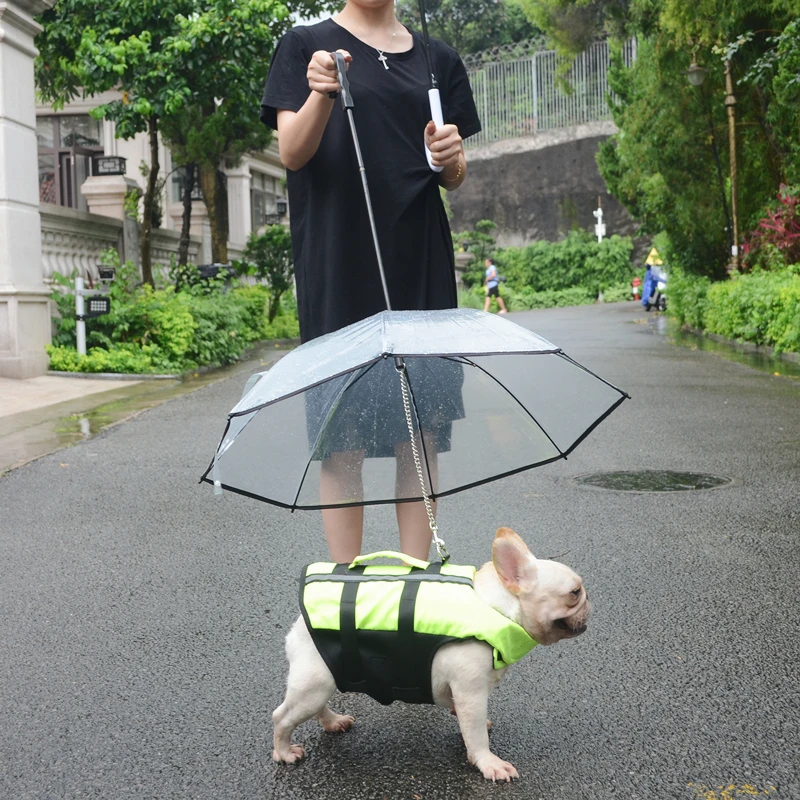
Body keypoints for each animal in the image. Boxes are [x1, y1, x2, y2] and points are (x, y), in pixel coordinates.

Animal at [272, 528, 592, 784]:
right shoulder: (471, 691)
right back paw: (284, 752)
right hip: (314, 684)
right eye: (575, 593)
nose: (590, 604)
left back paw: (333, 722)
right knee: (282, 717)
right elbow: (476, 734)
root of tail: (298, 624)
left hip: (322, 679)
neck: (496, 609)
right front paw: (488, 762)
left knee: (318, 707)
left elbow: (465, 719)